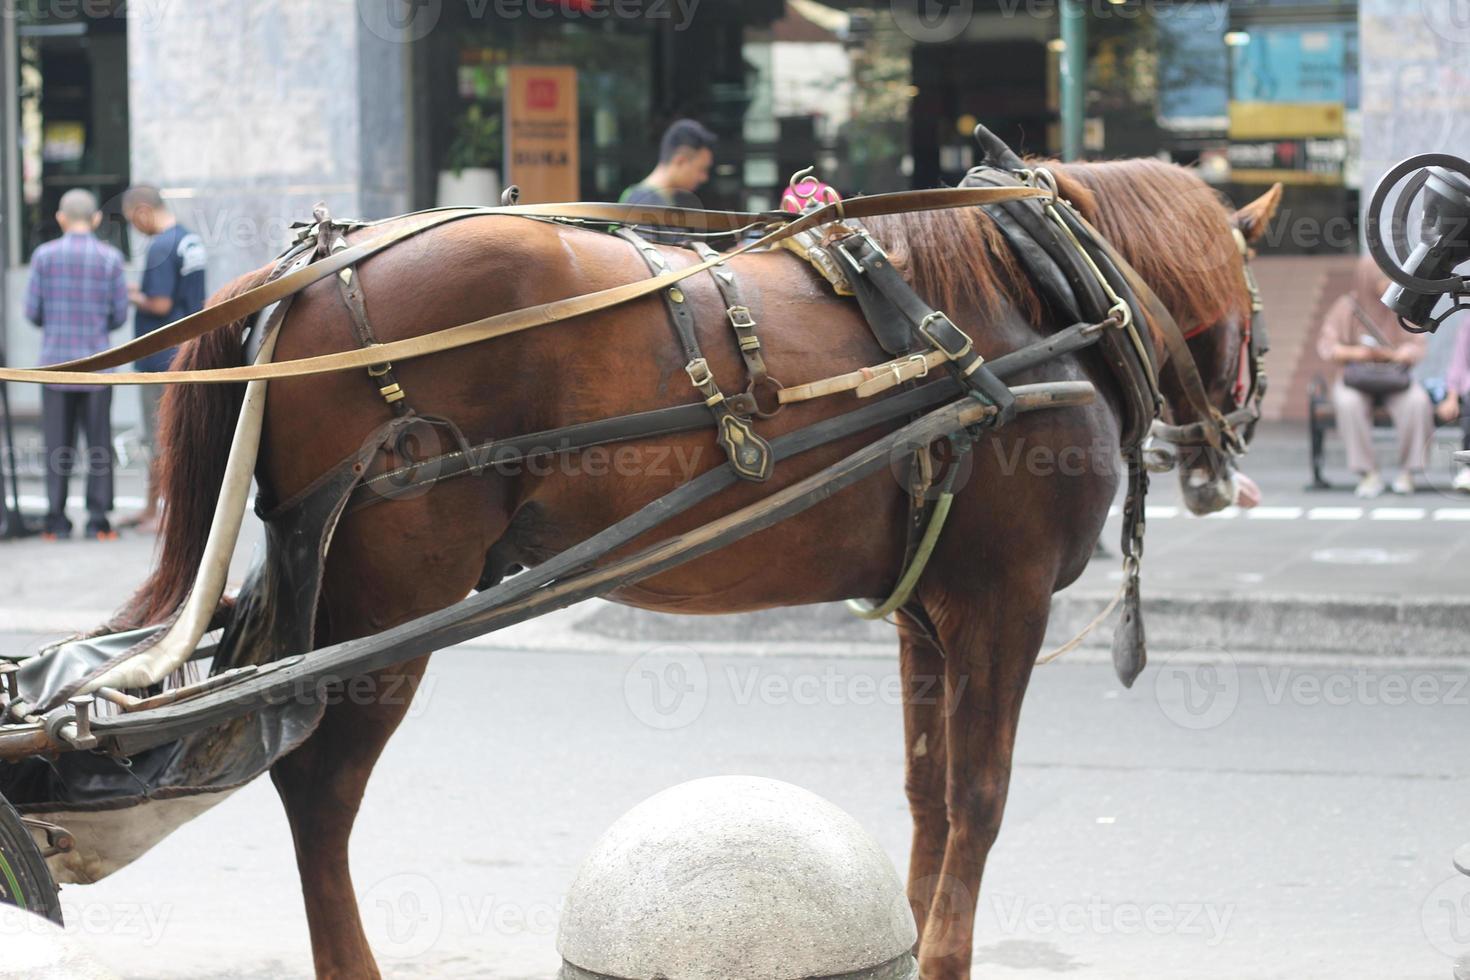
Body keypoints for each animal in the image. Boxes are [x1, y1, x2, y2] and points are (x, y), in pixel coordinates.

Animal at [123, 160, 1275, 980]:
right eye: (1258, 313)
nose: (1226, 459)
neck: (1049, 294)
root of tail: (295, 278)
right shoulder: (1006, 599)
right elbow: (981, 796)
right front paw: (948, 954)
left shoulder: (929, 610)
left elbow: (928, 793)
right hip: (392, 596)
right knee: (319, 787)